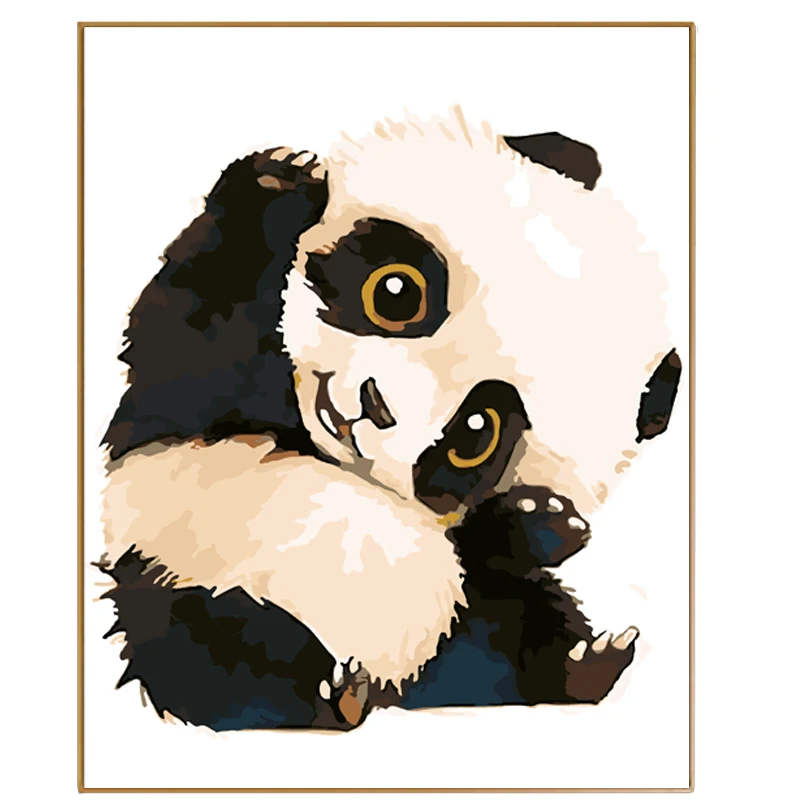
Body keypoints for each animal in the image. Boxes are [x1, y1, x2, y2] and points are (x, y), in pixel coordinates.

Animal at [97, 107, 681, 732]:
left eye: (477, 432)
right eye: (396, 292)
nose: (374, 404)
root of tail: (385, 682)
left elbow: (488, 547)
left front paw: (544, 521)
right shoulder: (186, 405)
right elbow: (182, 344)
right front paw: (277, 178)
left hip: (452, 623)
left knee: (505, 630)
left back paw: (585, 661)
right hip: (182, 566)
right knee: (208, 649)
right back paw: (320, 693)